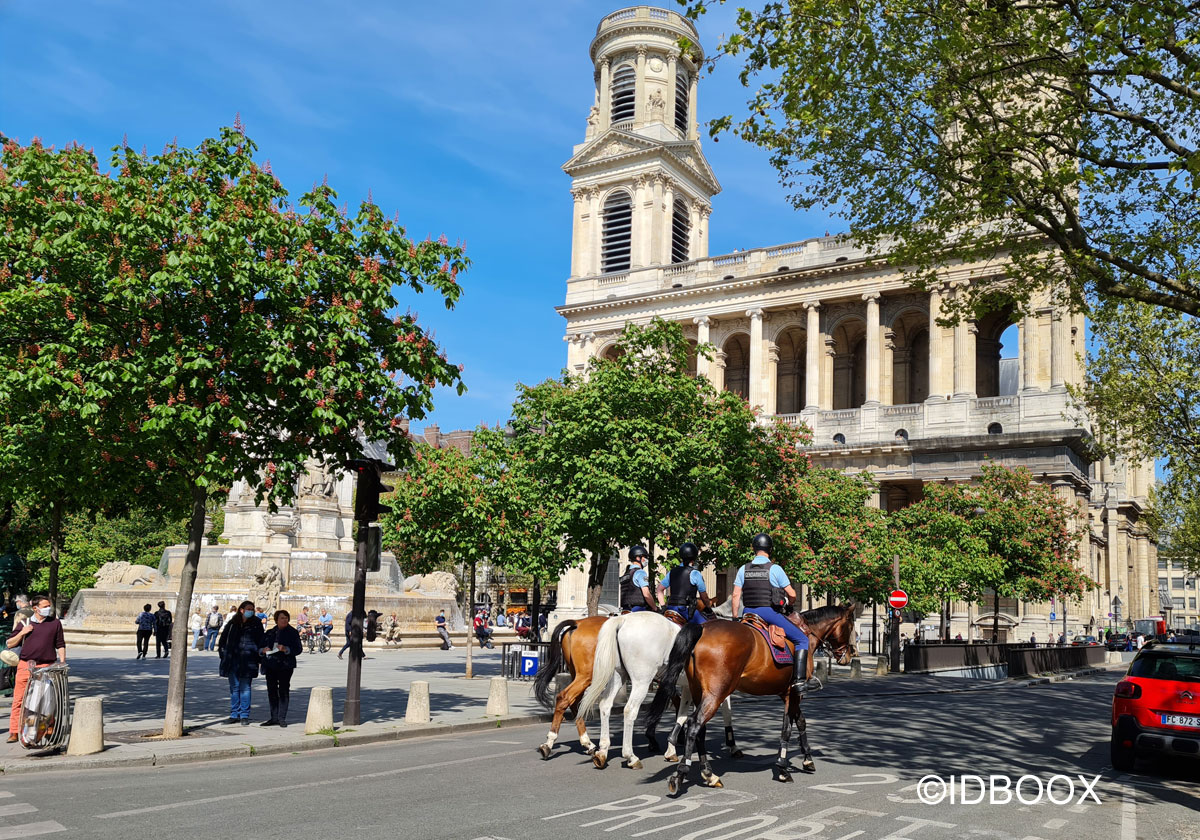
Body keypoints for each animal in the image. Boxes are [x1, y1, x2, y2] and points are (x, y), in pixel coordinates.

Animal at [576, 607, 734, 772]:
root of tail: (623, 620)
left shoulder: (688, 687)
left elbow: (682, 714)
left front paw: (671, 749)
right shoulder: (718, 689)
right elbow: (726, 712)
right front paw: (733, 746)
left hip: (619, 675)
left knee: (605, 705)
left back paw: (602, 751)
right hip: (642, 681)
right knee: (630, 710)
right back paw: (631, 756)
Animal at [648, 604, 854, 792]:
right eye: (850, 626)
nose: (849, 656)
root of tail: (703, 629)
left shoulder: (787, 694)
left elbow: (801, 721)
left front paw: (807, 759)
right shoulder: (794, 693)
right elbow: (787, 728)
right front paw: (783, 768)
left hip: (700, 692)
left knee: (699, 728)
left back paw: (706, 773)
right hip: (716, 693)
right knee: (694, 724)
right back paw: (685, 772)